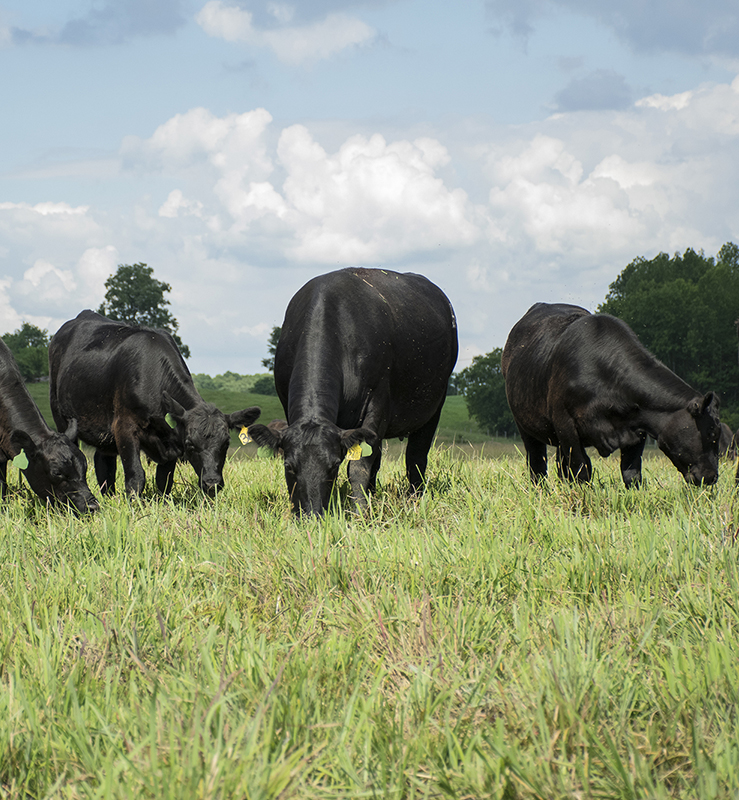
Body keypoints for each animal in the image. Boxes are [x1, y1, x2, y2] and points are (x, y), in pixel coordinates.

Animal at [49, 310, 264, 496]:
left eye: (226, 443)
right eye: (190, 444)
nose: (212, 483)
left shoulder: (171, 443)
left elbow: (164, 480)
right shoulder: (124, 427)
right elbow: (136, 476)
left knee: (104, 464)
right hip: (61, 415)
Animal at [247, 268, 456, 516]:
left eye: (334, 465)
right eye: (288, 466)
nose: (312, 514)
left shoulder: (378, 404)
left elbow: (359, 467)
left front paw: (360, 512)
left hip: (433, 407)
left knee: (415, 457)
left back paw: (414, 500)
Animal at [502, 302, 724, 484]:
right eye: (712, 432)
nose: (712, 477)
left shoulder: (637, 431)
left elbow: (631, 473)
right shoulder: (566, 425)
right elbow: (581, 470)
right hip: (525, 425)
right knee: (537, 466)